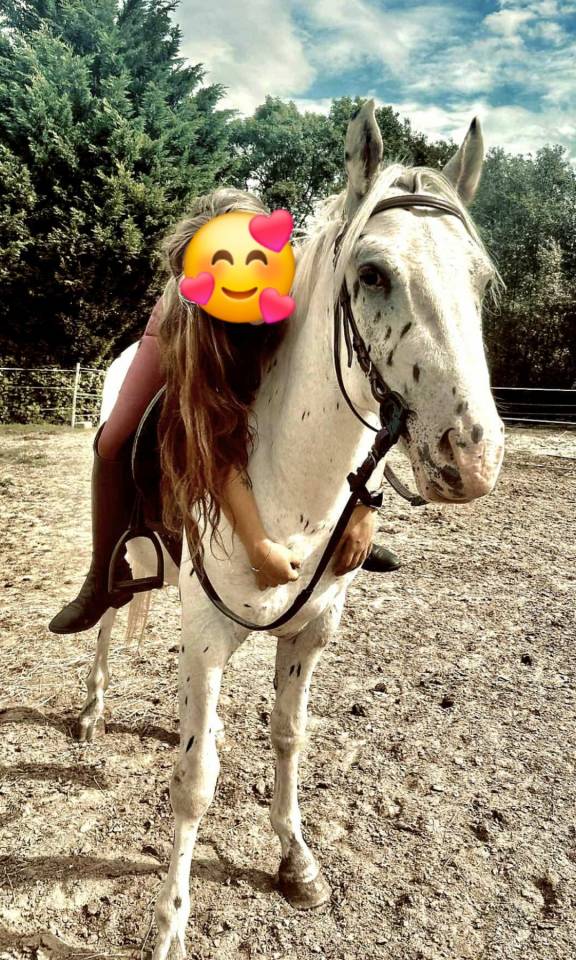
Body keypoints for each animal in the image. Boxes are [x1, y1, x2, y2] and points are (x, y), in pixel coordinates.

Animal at [76, 100, 504, 959]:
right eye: (372, 274)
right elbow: (195, 781)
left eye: (479, 279)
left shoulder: (310, 630)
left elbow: (287, 735)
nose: (470, 455)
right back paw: (95, 710)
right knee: (109, 614)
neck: (293, 480)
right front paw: (169, 927)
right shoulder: (209, 629)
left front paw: (297, 860)